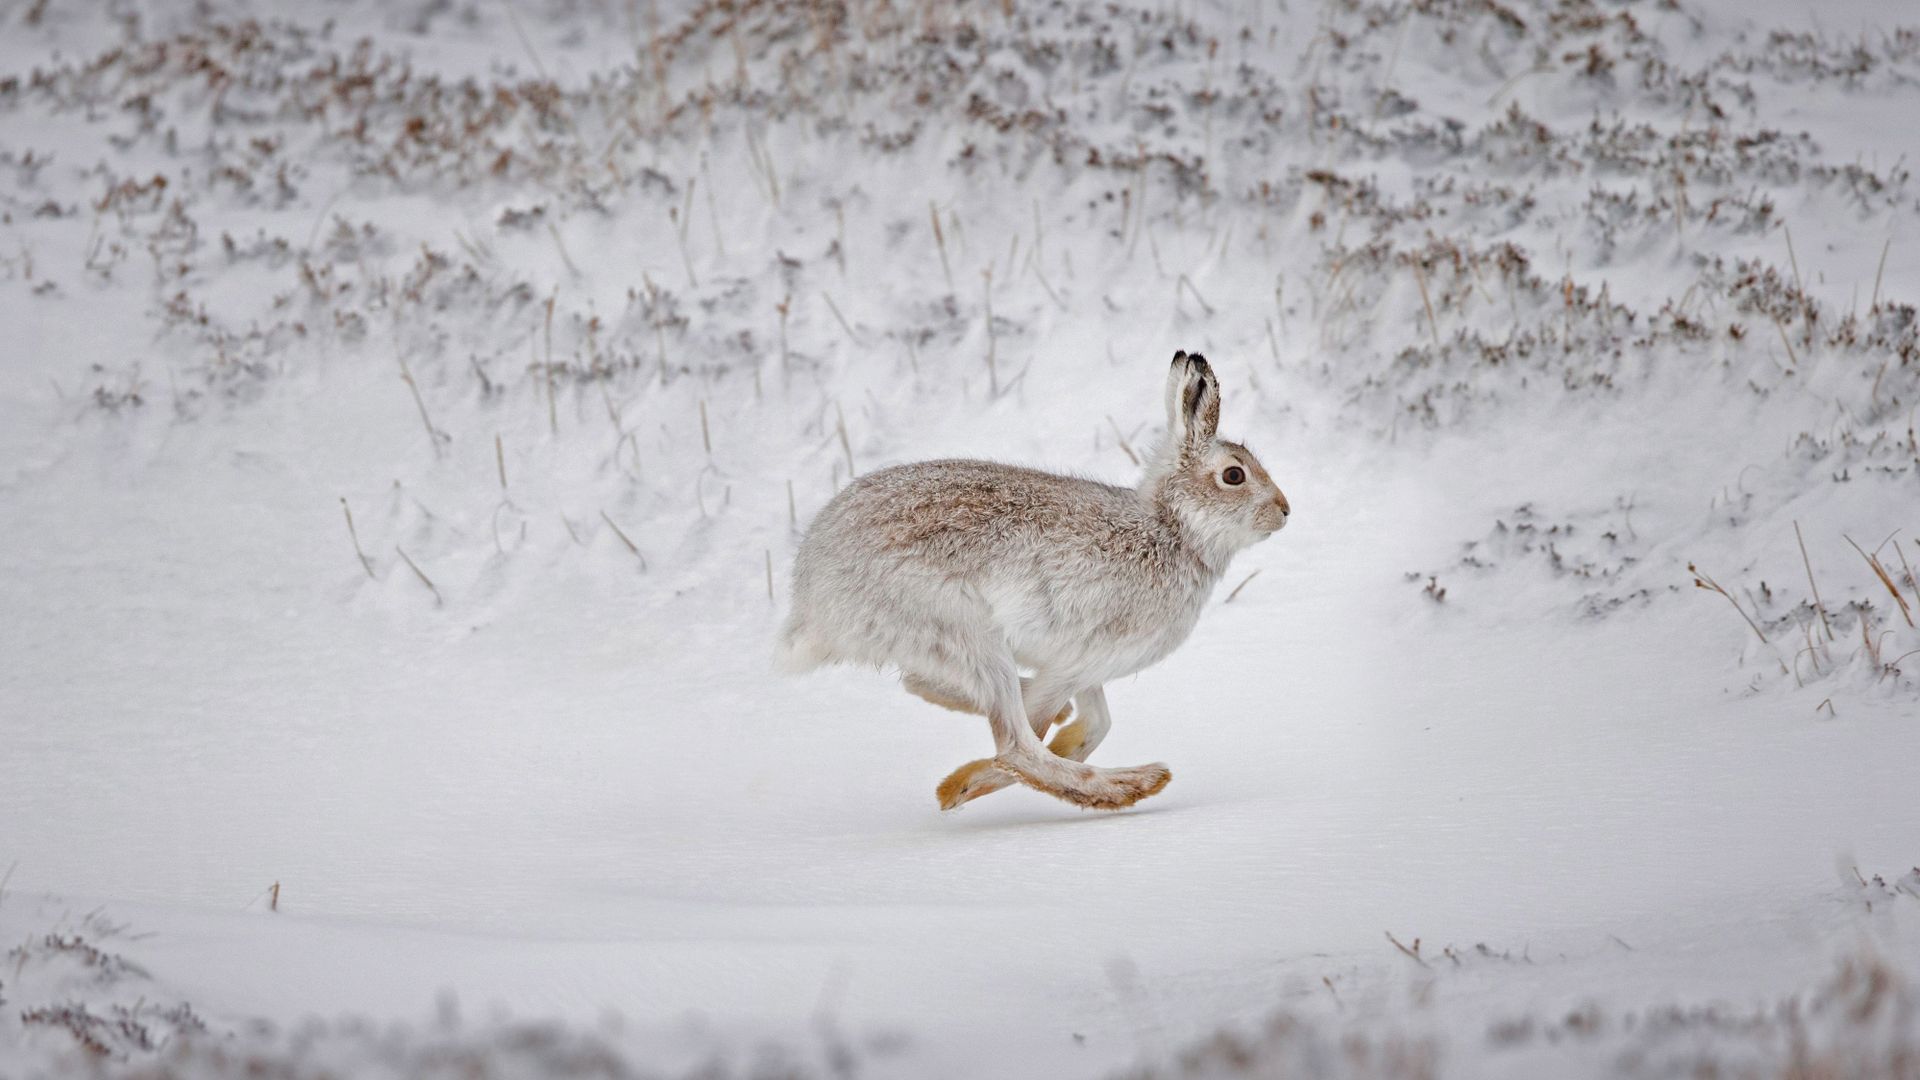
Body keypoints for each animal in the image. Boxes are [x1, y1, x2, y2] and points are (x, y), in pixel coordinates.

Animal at [778, 351, 1289, 811]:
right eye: (1234, 475)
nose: (1284, 511)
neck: (1173, 529)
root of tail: (814, 599)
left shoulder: (1086, 670)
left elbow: (1097, 722)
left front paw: (1062, 739)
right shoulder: (1077, 660)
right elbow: (1043, 732)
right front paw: (970, 783)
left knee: (929, 687)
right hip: (965, 631)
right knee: (1016, 745)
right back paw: (1129, 784)